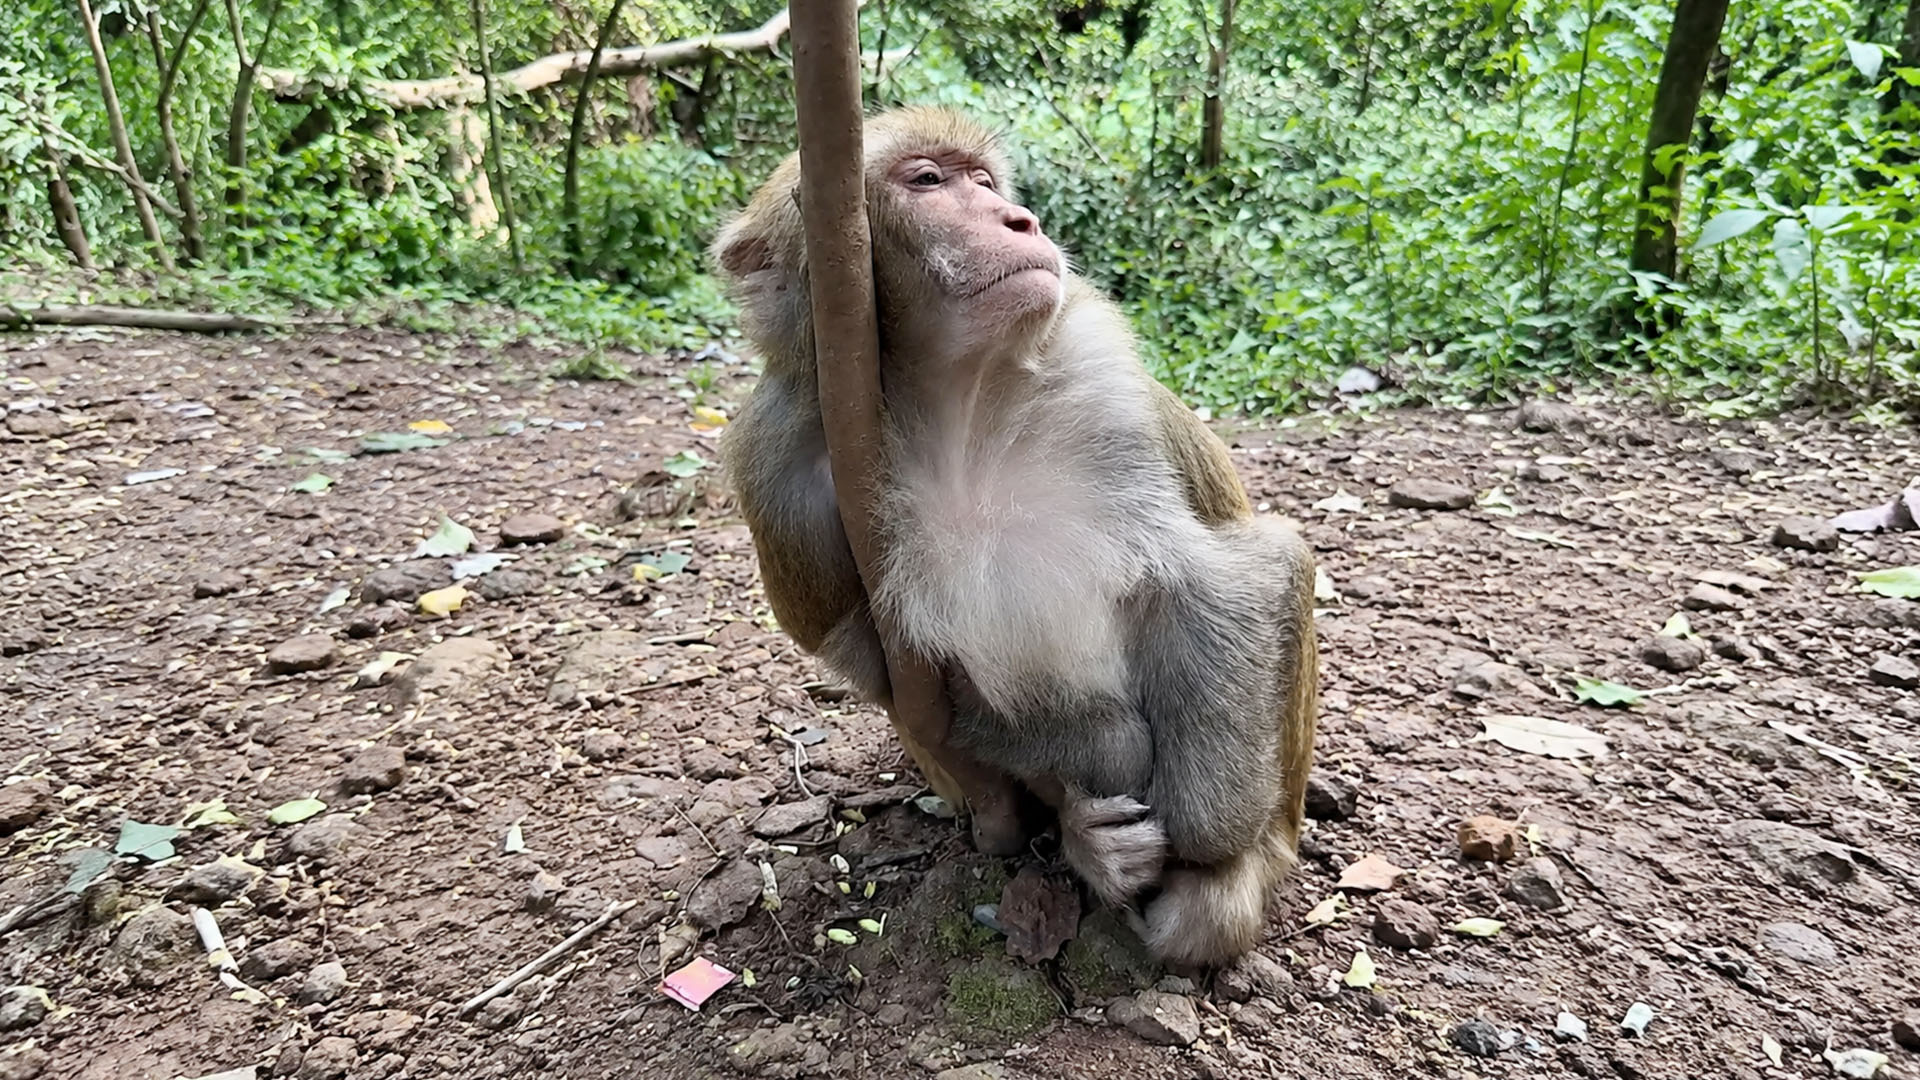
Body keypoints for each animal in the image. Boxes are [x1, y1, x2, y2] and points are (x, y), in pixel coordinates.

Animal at [711, 106, 1318, 967]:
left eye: (988, 183)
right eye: (928, 181)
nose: (1021, 220)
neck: (955, 401)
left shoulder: (1107, 387)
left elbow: (1237, 572)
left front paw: (1210, 851)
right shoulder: (778, 463)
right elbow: (870, 659)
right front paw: (1091, 783)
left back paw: (1240, 866)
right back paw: (1081, 837)